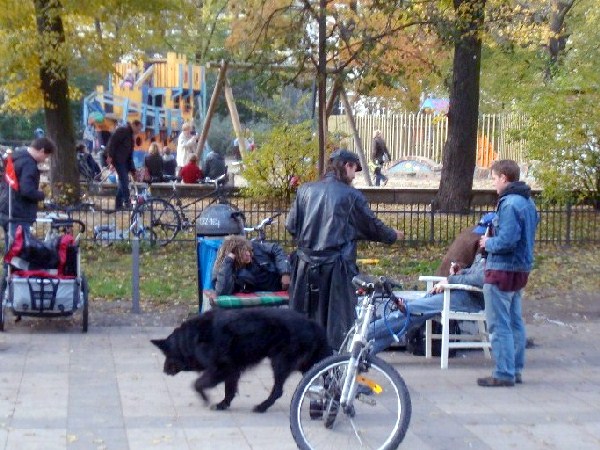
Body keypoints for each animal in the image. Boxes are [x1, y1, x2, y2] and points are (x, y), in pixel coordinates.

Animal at [149, 308, 328, 414]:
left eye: (167, 354)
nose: (164, 370)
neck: (191, 339)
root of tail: (313, 324)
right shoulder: (232, 370)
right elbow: (229, 389)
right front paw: (223, 404)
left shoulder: (221, 368)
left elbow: (197, 384)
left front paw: (206, 399)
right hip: (306, 364)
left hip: (279, 362)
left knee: (278, 390)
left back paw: (262, 406)